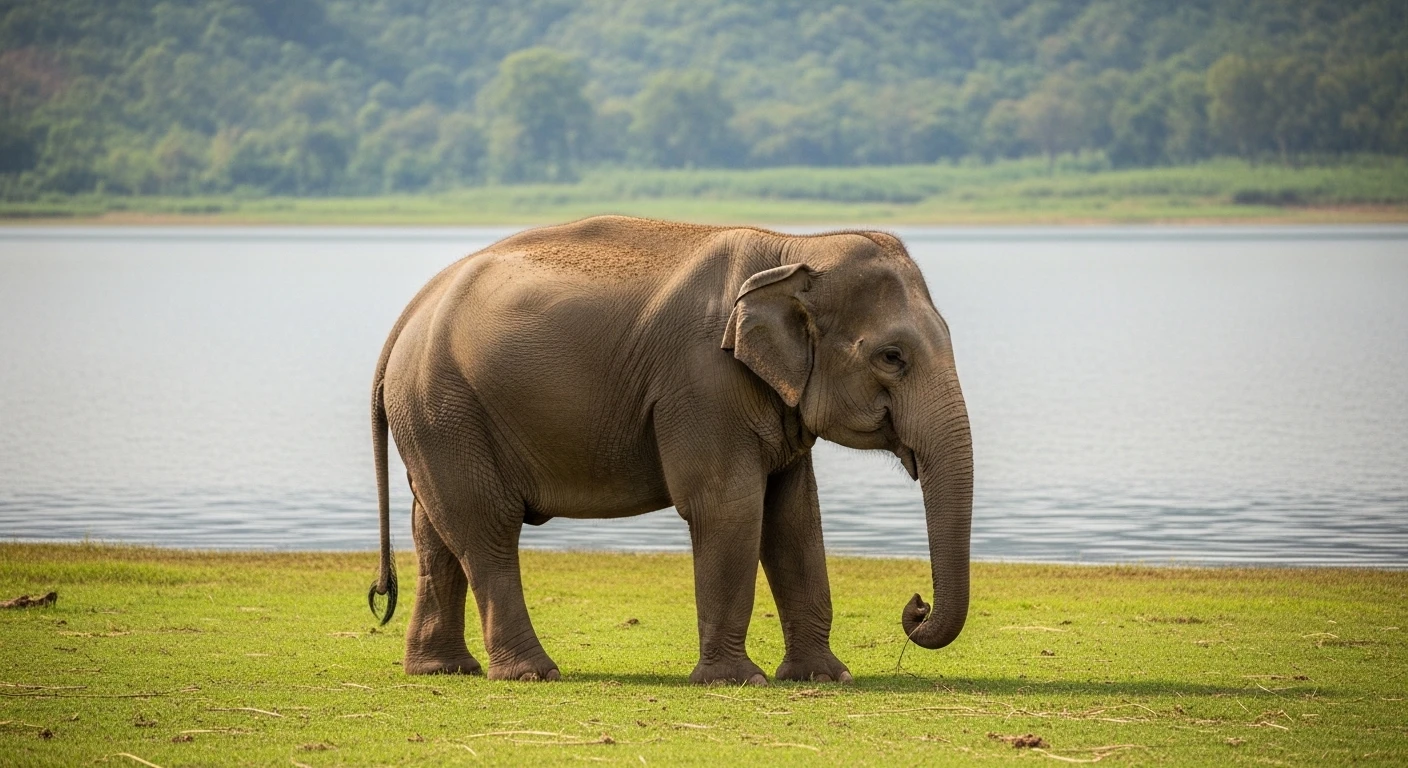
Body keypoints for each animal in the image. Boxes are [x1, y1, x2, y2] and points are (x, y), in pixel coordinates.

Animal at [368, 215, 973, 684]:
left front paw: (825, 678)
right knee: (485, 525)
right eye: (892, 357)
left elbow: (794, 518)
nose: (916, 606)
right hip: (444, 405)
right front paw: (735, 681)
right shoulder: (703, 383)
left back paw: (443, 670)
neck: (793, 249)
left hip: (437, 418)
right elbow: (728, 508)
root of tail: (406, 317)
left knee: (435, 529)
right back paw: (532, 673)